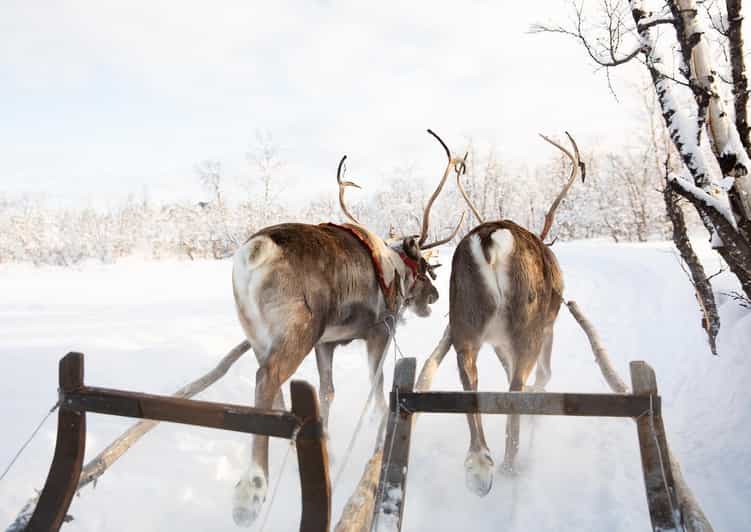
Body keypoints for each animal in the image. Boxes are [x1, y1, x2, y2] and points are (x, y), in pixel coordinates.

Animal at [230, 130, 465, 527]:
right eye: (423, 268)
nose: (434, 296)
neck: (394, 270)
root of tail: (256, 251)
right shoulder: (378, 332)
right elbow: (378, 385)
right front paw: (377, 429)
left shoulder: (328, 343)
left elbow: (327, 391)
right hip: (300, 329)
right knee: (268, 377)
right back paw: (253, 488)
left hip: (258, 333)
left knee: (272, 384)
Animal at [416, 132, 583, 497]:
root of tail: (489, 238)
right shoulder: (548, 327)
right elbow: (543, 375)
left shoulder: (495, 342)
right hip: (528, 324)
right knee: (515, 388)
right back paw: (510, 463)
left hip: (464, 321)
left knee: (470, 381)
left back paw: (480, 465)